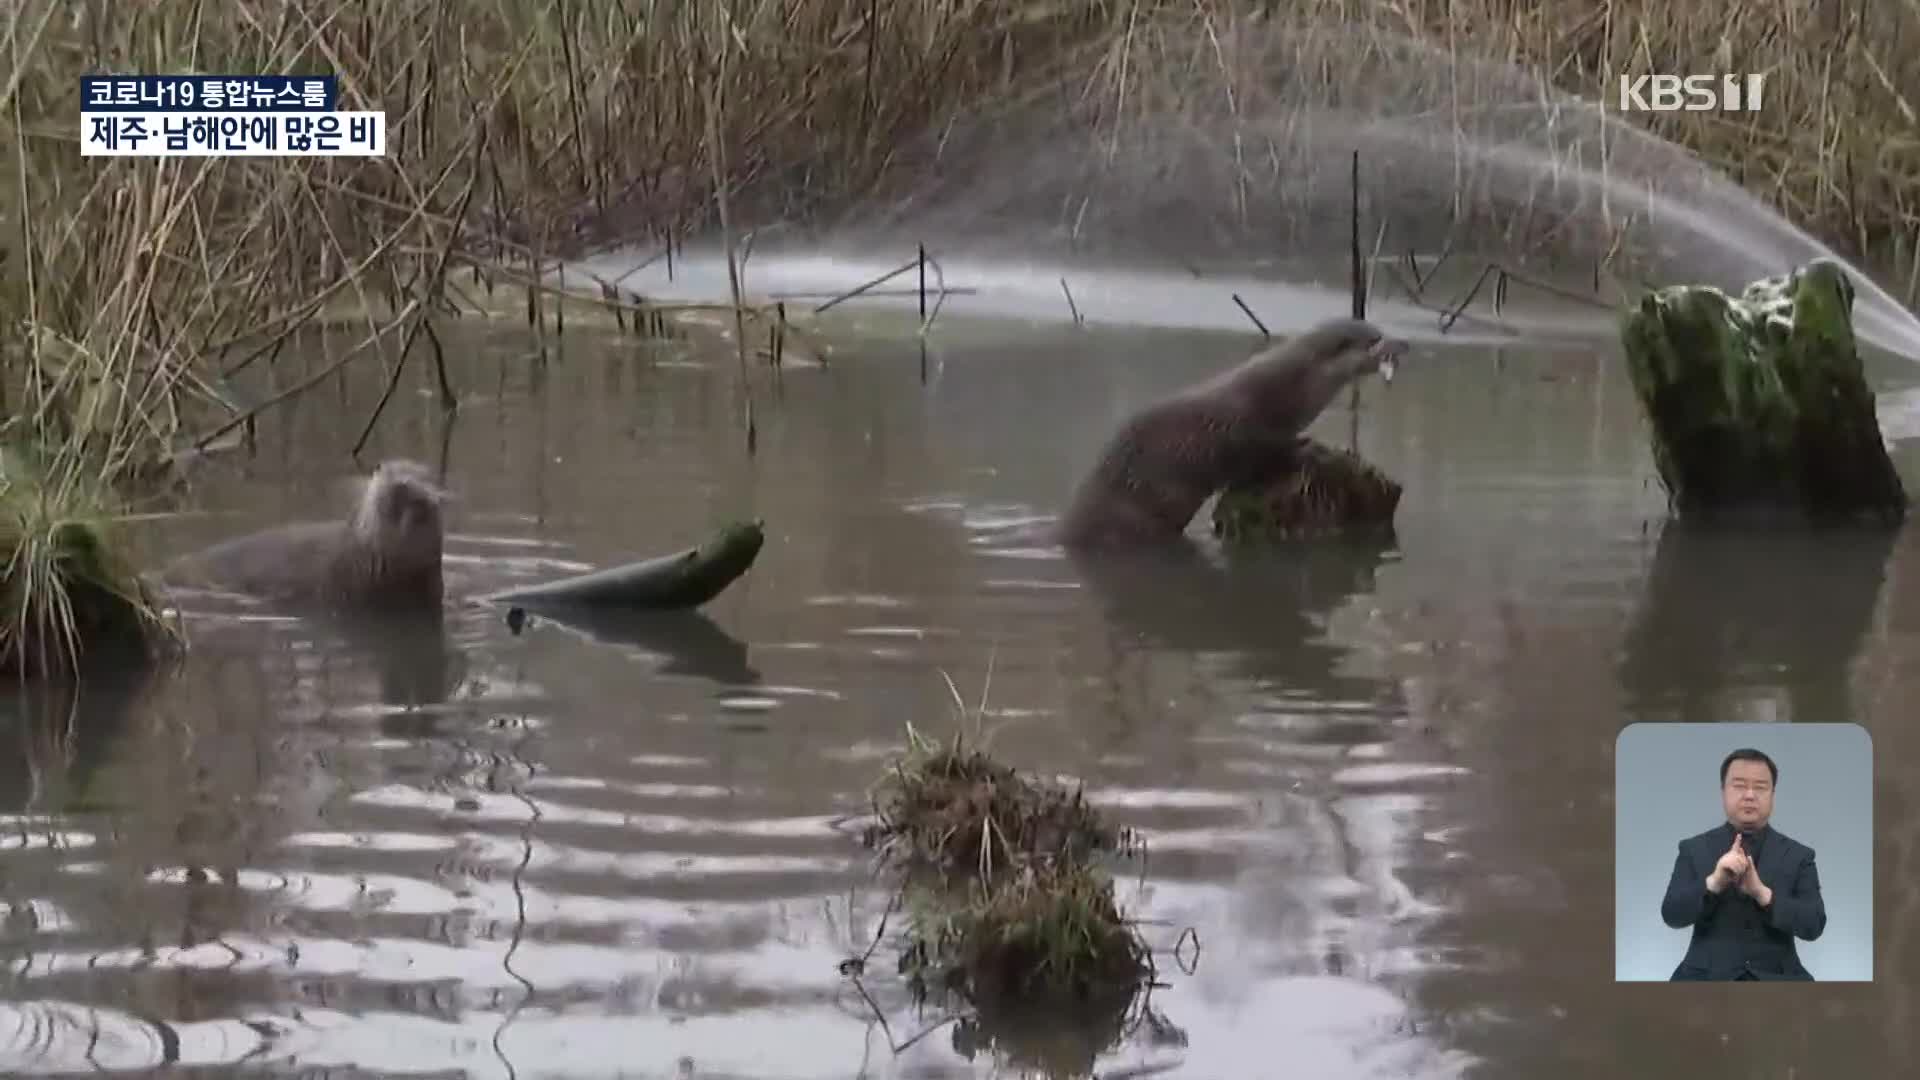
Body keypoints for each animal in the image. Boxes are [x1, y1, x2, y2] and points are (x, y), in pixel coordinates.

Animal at [1059, 313, 1405, 545]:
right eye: (1374, 339)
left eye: (1380, 330)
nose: (1403, 342)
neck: (1289, 388)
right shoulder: (1246, 425)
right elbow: (1261, 453)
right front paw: (1304, 447)